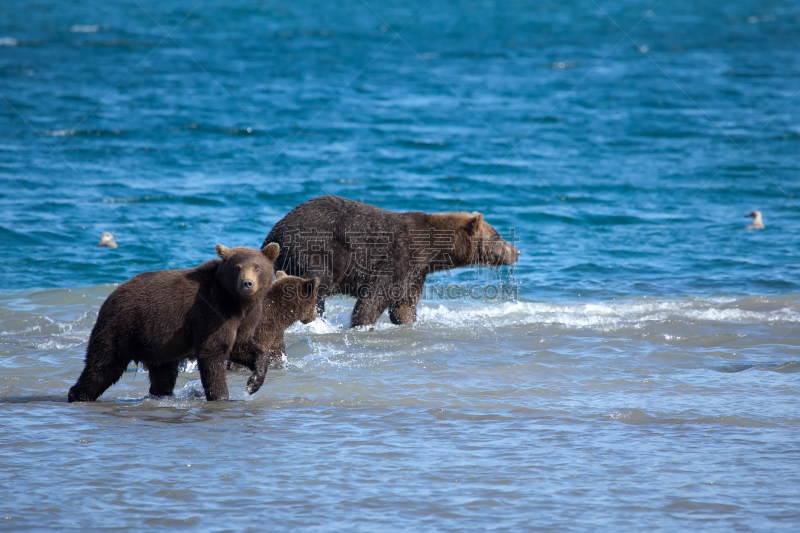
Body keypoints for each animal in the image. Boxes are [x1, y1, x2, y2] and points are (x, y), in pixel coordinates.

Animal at [68, 243, 282, 402]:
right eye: (236, 268)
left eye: (256, 266)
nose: (247, 283)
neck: (236, 302)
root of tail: (110, 296)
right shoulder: (212, 312)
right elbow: (213, 352)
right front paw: (221, 395)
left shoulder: (244, 320)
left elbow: (243, 346)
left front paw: (254, 382)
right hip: (122, 327)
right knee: (103, 365)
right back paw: (77, 395)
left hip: (157, 344)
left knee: (163, 374)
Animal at [262, 195, 520, 326]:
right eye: (497, 236)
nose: (517, 251)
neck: (432, 252)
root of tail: (275, 232)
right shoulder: (400, 256)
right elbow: (376, 296)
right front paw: (360, 322)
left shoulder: (416, 271)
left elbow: (405, 303)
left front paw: (406, 319)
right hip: (315, 251)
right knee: (316, 287)